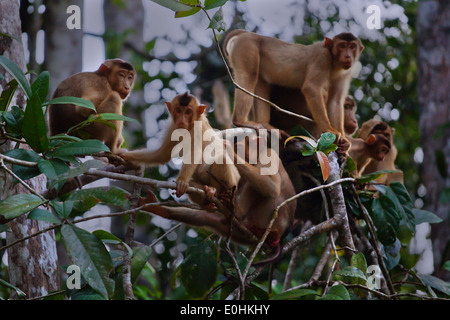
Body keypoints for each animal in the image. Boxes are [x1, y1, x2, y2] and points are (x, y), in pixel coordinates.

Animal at [223, 29, 364, 152]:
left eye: (352, 46)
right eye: (342, 46)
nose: (347, 56)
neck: (334, 63)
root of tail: (250, 34)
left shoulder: (346, 72)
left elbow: (335, 101)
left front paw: (344, 141)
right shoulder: (322, 56)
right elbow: (311, 88)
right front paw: (329, 129)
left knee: (261, 81)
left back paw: (265, 124)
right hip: (246, 46)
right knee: (249, 75)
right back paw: (240, 121)